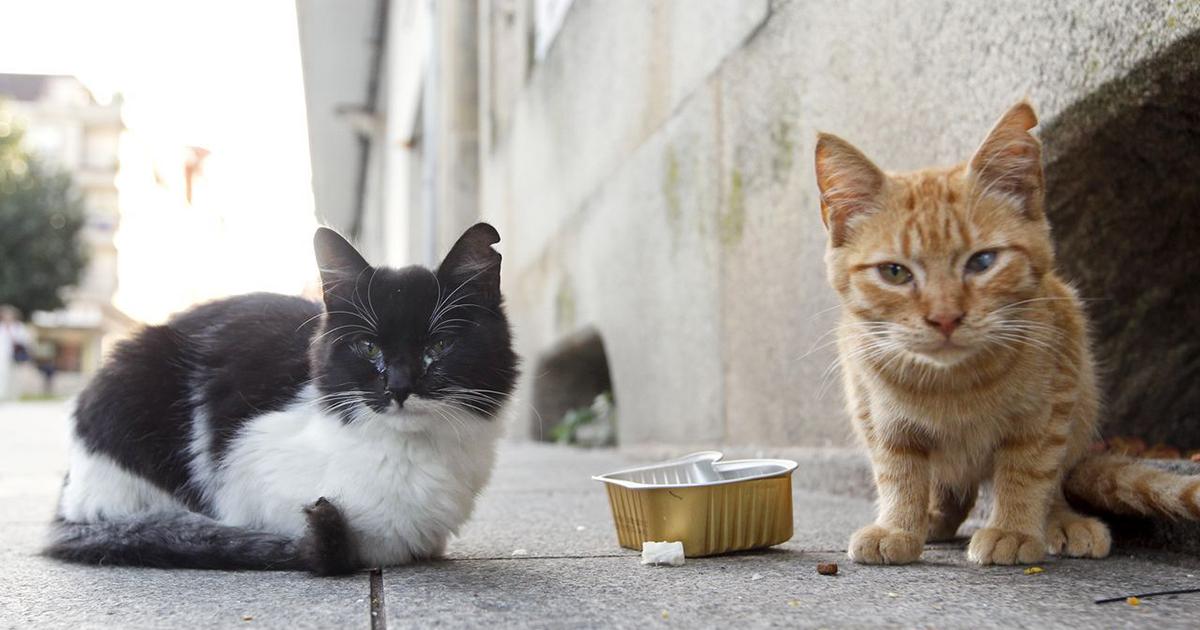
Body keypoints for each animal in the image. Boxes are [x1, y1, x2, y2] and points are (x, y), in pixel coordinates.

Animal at [45, 223, 516, 571]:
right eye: (368, 348)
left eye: (439, 347)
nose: (399, 387)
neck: (410, 454)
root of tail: (68, 497)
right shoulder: (245, 466)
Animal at [816, 100, 1200, 561]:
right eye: (894, 272)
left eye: (982, 262)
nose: (945, 317)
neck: (954, 385)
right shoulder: (880, 417)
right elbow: (899, 472)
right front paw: (899, 526)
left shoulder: (1049, 408)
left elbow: (1029, 471)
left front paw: (1014, 529)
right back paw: (934, 517)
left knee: (1054, 483)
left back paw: (1060, 520)